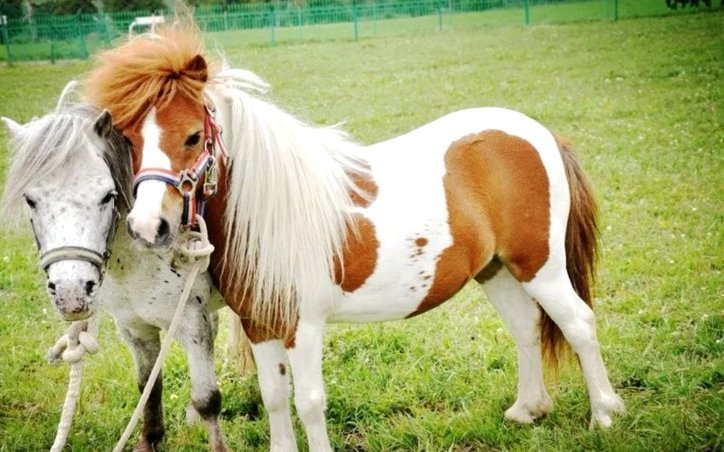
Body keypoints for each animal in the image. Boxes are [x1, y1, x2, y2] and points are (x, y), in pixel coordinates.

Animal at [1, 88, 230, 452]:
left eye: (107, 196)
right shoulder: (135, 327)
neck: (139, 259)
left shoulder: (191, 322)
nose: (71, 293)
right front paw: (150, 439)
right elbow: (148, 387)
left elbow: (208, 397)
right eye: (30, 200)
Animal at [83, 23, 625, 451]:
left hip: (541, 266)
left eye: (193, 136)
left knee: (578, 324)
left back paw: (604, 415)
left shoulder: (303, 326)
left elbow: (309, 402)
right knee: (526, 327)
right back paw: (528, 409)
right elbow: (275, 399)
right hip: (497, 270)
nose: (148, 227)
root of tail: (540, 133)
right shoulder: (260, 326)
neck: (270, 209)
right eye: (129, 138)